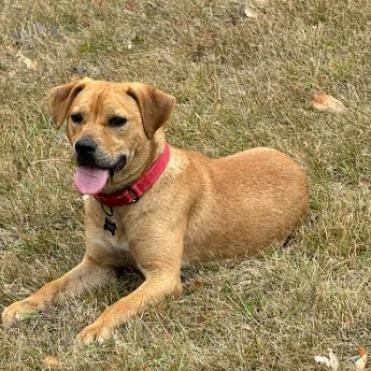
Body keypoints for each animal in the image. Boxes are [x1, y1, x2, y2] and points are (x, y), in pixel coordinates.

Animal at [1, 77, 310, 342]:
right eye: (76, 117)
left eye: (117, 121)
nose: (84, 147)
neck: (125, 200)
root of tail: (296, 167)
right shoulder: (97, 264)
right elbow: (53, 285)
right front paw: (23, 305)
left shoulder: (163, 276)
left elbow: (123, 304)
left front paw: (96, 328)